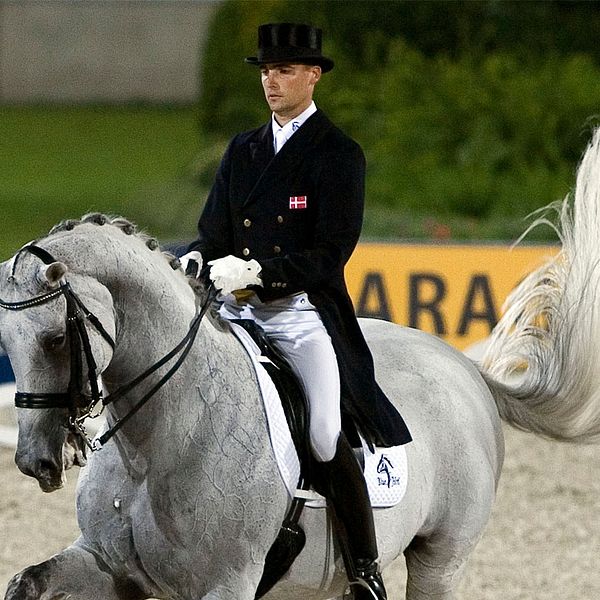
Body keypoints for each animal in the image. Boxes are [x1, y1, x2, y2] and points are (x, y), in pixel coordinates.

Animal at [3, 125, 600, 600]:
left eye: (55, 339)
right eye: (8, 344)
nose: (36, 462)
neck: (154, 446)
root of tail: (463, 365)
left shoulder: (227, 585)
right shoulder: (107, 564)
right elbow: (25, 582)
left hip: (441, 559)